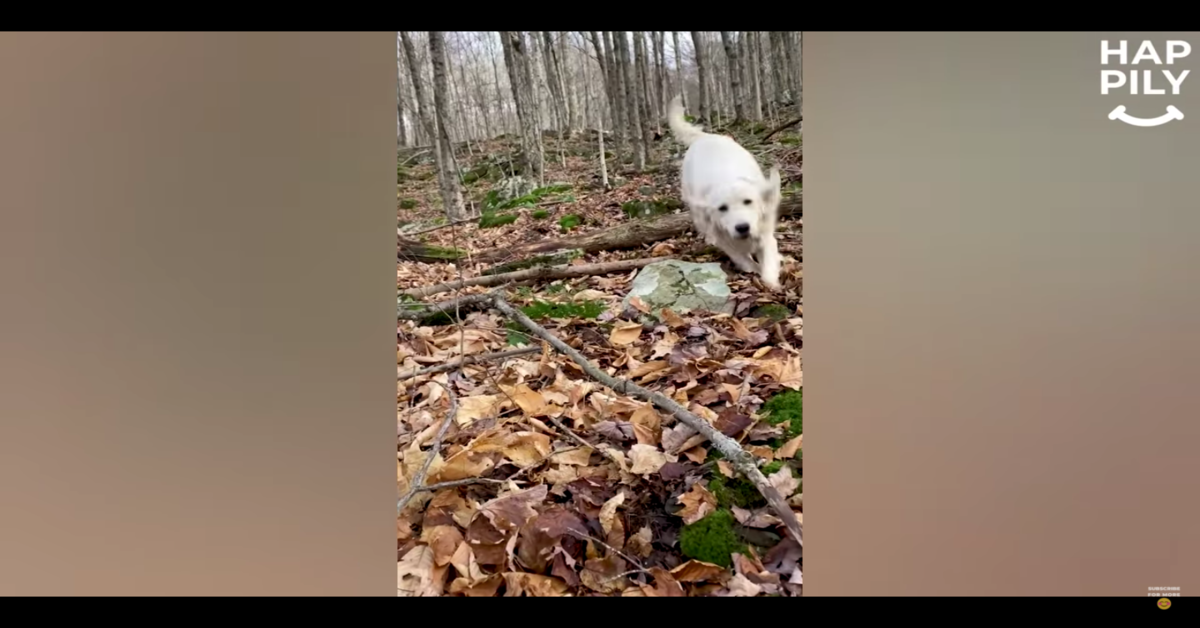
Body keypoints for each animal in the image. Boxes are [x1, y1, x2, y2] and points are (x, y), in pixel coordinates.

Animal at [662, 95, 782, 290]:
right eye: (722, 208)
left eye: (748, 201)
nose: (742, 227)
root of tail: (704, 137)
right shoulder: (726, 240)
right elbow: (744, 259)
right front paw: (754, 270)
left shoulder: (764, 230)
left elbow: (768, 258)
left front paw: (771, 280)